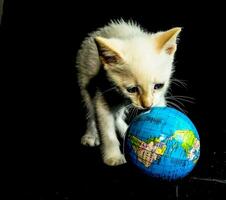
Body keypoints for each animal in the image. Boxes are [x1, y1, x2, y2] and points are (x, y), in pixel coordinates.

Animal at [77, 19, 181, 166]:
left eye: (158, 86)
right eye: (132, 90)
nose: (147, 105)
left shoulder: (159, 97)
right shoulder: (103, 93)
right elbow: (106, 130)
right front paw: (113, 157)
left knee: (117, 115)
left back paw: (125, 130)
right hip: (84, 79)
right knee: (90, 111)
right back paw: (91, 135)